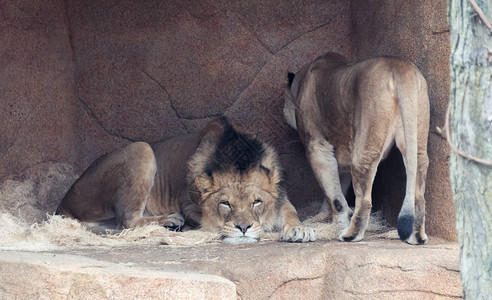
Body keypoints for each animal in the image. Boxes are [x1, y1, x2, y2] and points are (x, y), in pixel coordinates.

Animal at [55, 117, 318, 244]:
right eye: (225, 203)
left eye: (257, 202)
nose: (243, 228)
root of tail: (63, 203)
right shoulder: (188, 202)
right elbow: (206, 221)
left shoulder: (281, 196)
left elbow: (291, 212)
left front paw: (300, 230)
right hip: (141, 149)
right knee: (127, 221)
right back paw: (170, 221)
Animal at [284, 51, 430, 244]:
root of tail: (400, 67)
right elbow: (335, 186)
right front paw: (325, 215)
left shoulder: (317, 145)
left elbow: (335, 196)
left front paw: (337, 223)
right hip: (416, 137)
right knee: (419, 189)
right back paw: (416, 237)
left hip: (365, 145)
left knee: (365, 198)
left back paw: (350, 234)